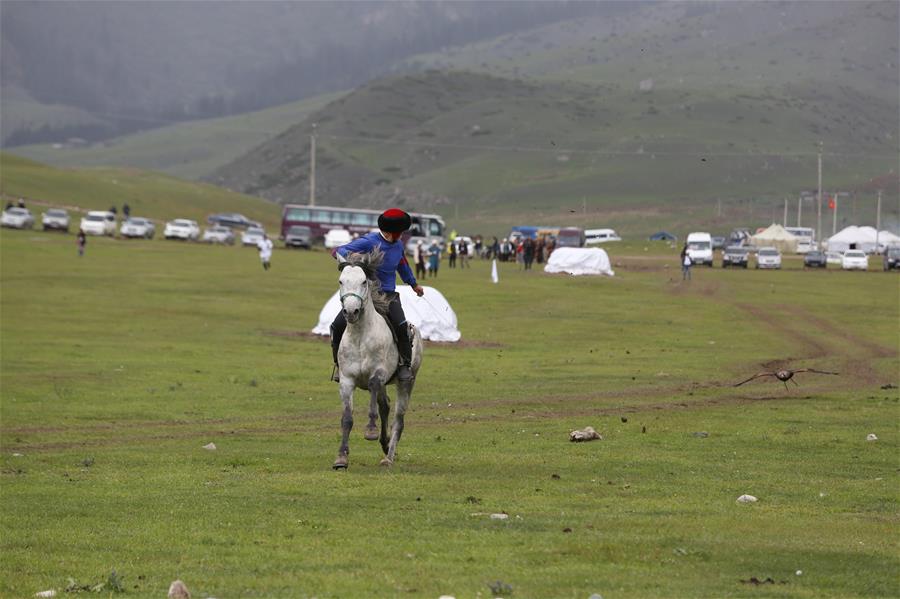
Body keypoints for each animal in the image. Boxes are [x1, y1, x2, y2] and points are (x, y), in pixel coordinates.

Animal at [334, 251, 426, 472]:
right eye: (341, 281)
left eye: (364, 281)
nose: (351, 311)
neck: (360, 336)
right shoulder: (346, 380)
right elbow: (347, 419)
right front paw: (341, 458)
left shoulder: (379, 373)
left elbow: (374, 386)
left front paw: (371, 430)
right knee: (385, 405)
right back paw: (384, 445)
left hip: (407, 382)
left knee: (398, 419)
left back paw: (388, 457)